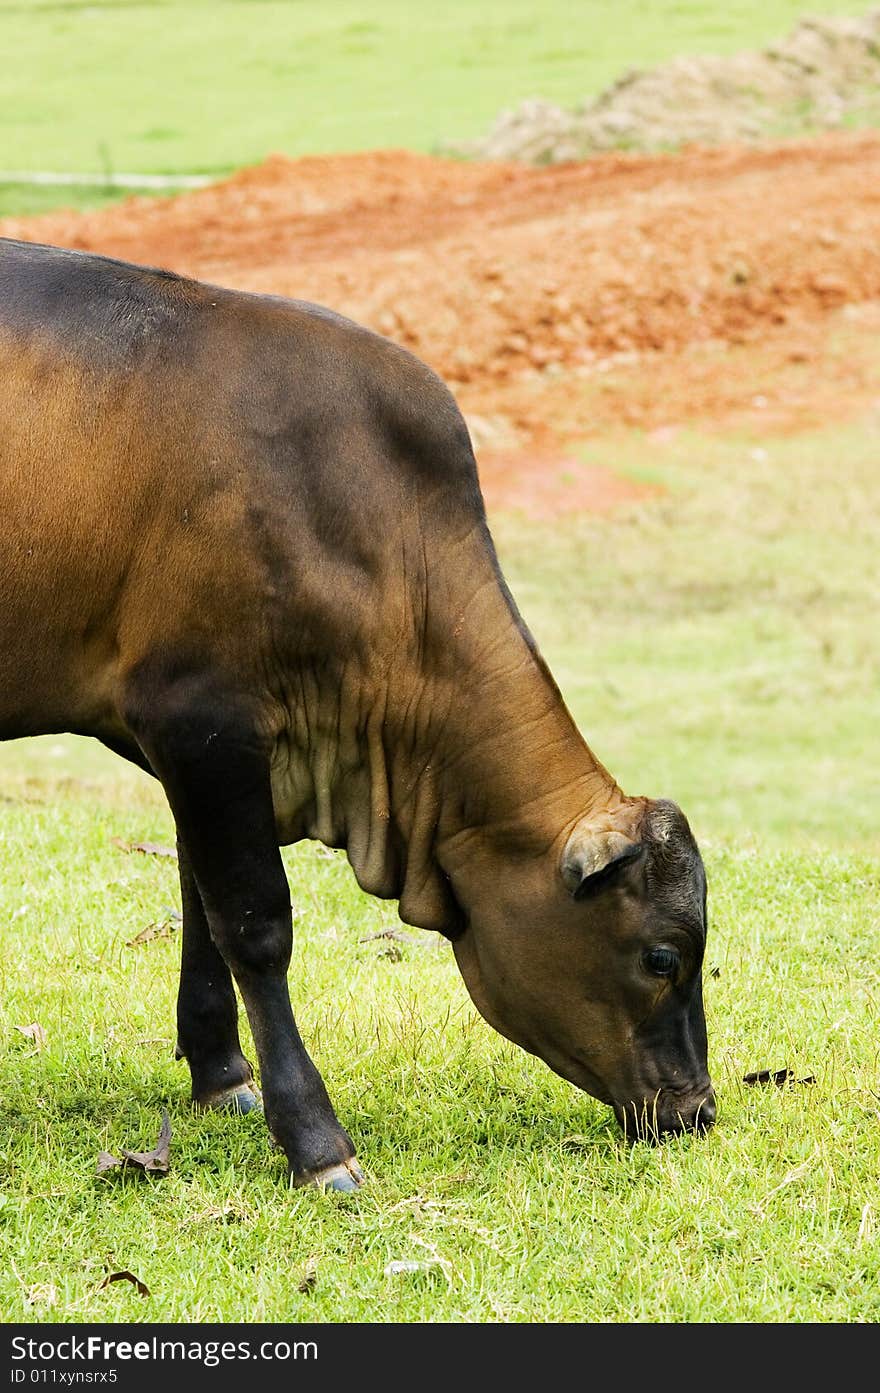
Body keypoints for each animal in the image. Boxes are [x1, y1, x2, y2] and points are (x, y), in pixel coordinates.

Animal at [1, 236, 712, 1186]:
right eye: (662, 955)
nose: (698, 1109)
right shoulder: (201, 721)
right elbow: (254, 923)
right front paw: (314, 1139)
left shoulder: (199, 755)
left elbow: (199, 899)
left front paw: (221, 1073)